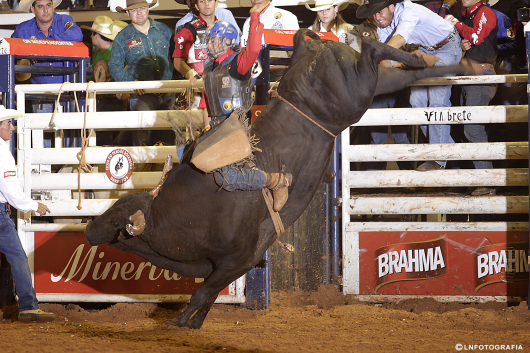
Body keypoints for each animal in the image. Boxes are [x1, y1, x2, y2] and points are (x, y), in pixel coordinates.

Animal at [84, 29, 480, 328]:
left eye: (119, 219)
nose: (88, 228)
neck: (172, 216)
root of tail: (313, 45)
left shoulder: (236, 259)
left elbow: (200, 292)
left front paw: (176, 323)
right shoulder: (235, 263)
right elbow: (207, 295)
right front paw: (192, 324)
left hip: (353, 91)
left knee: (371, 53)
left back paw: (396, 45)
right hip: (367, 89)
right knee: (398, 73)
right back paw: (441, 62)